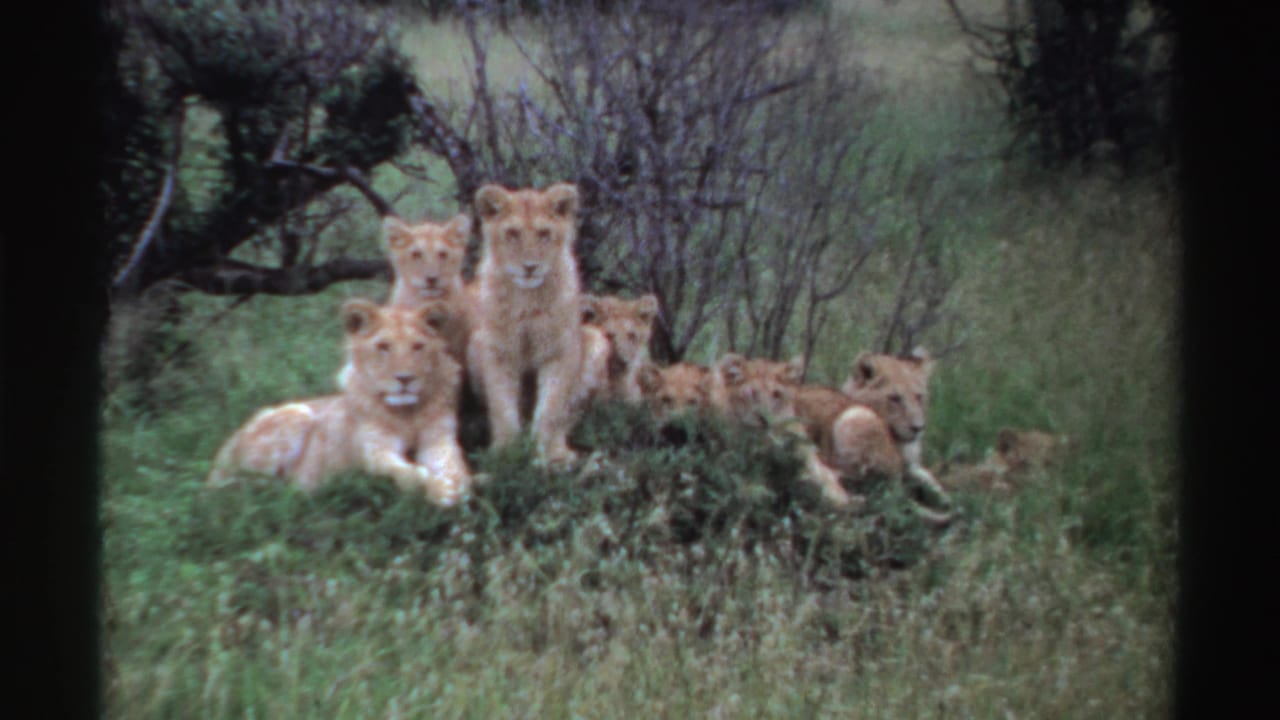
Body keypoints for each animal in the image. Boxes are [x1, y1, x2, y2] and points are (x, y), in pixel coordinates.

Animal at [207, 299, 471, 506]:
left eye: (418, 346)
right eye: (383, 346)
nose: (405, 378)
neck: (407, 413)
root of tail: (223, 450)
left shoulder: (439, 439)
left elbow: (453, 464)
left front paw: (462, 484)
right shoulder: (375, 452)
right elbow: (408, 473)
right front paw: (441, 490)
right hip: (297, 414)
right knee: (237, 487)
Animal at [465, 182, 585, 465]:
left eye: (544, 233)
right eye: (512, 233)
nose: (530, 267)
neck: (527, 301)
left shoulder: (560, 350)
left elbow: (551, 409)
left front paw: (543, 455)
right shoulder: (497, 351)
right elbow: (503, 407)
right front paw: (507, 455)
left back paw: (563, 454)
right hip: (473, 347)